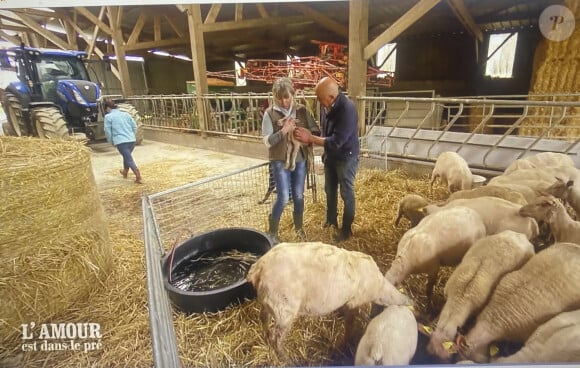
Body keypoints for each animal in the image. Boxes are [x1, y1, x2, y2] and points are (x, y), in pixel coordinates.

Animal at [245, 240, 412, 356]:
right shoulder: (355, 302)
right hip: (283, 309)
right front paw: (345, 342)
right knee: (277, 339)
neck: (380, 288)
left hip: (268, 301)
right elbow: (350, 324)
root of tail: (258, 268)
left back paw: (266, 337)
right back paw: (285, 357)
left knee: (263, 318)